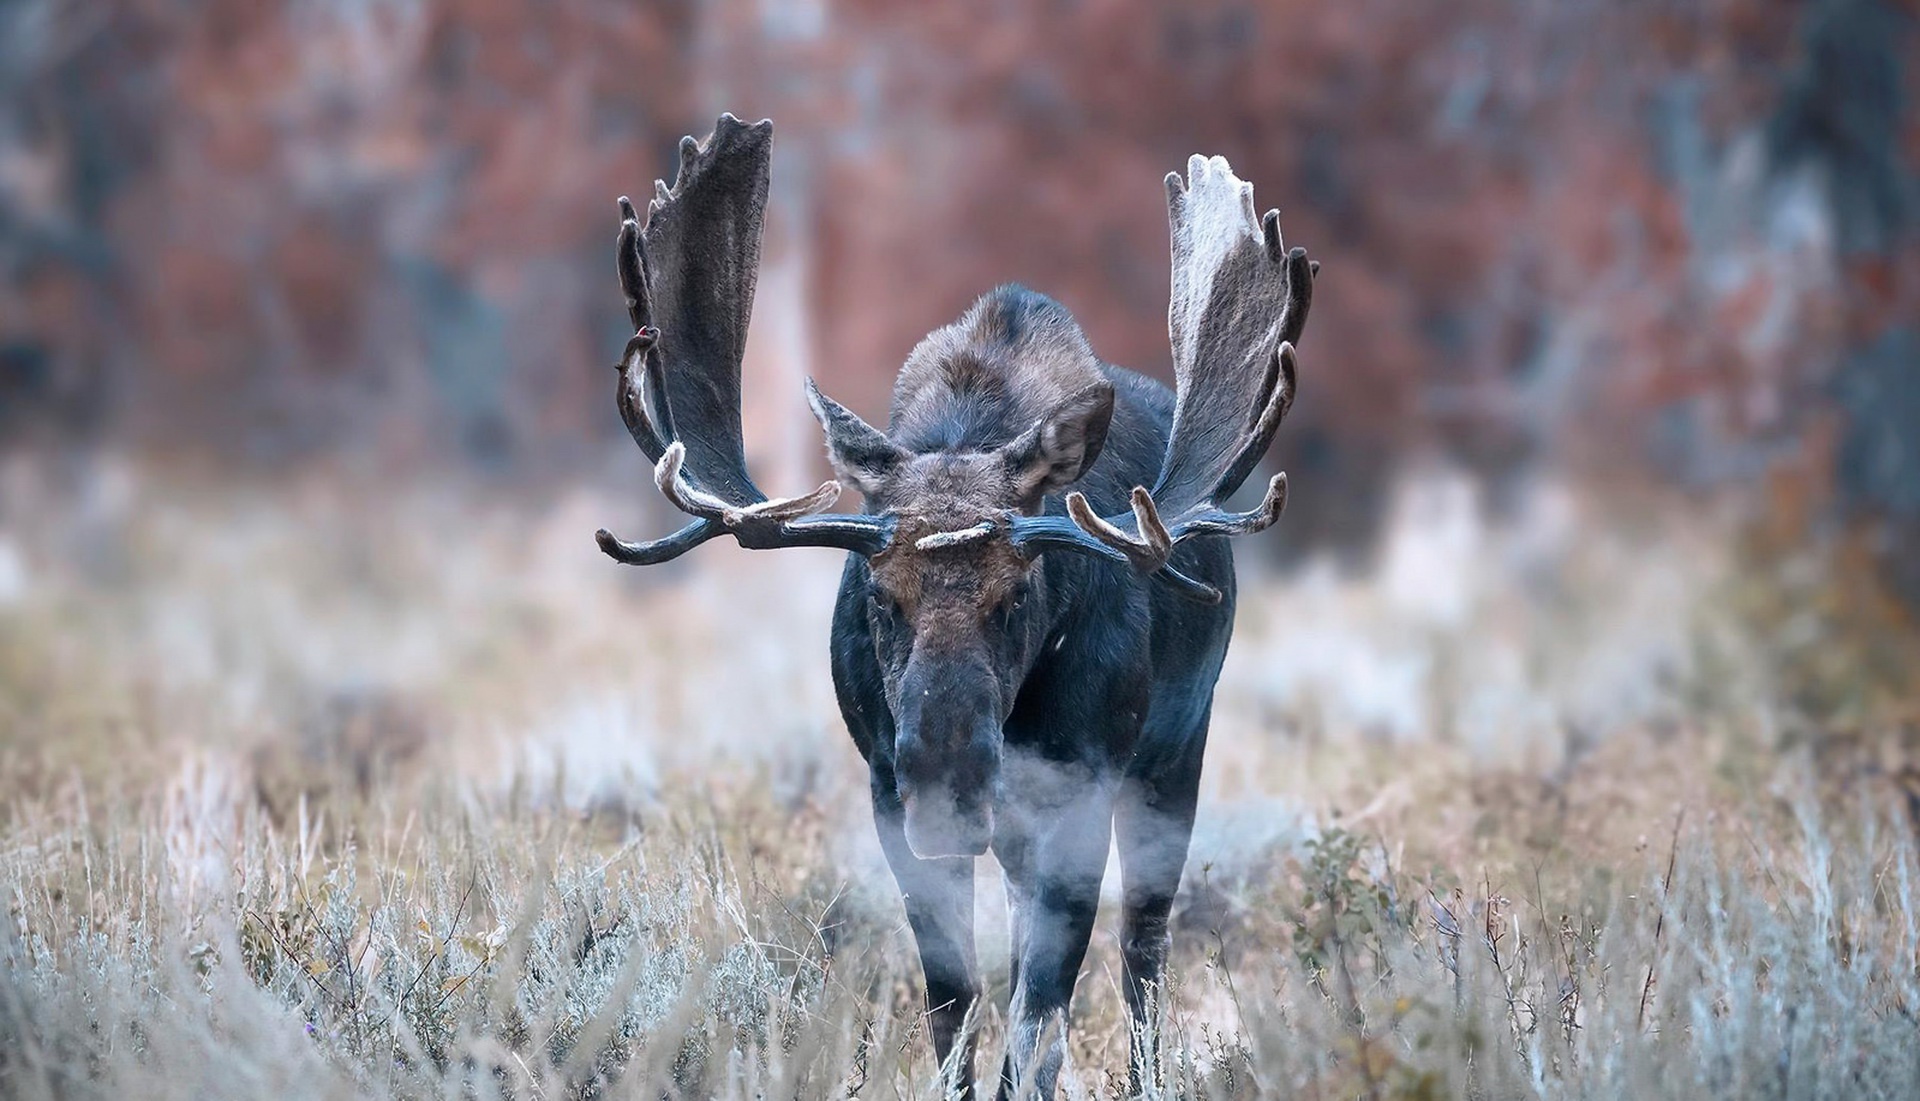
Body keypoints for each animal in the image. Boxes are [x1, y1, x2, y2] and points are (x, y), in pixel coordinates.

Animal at [595, 115, 1320, 1091]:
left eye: (1018, 595)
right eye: (878, 595)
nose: (947, 771)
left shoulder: (1081, 789)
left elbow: (1041, 1010)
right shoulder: (886, 793)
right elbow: (954, 1003)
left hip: (1175, 754)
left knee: (1143, 949)